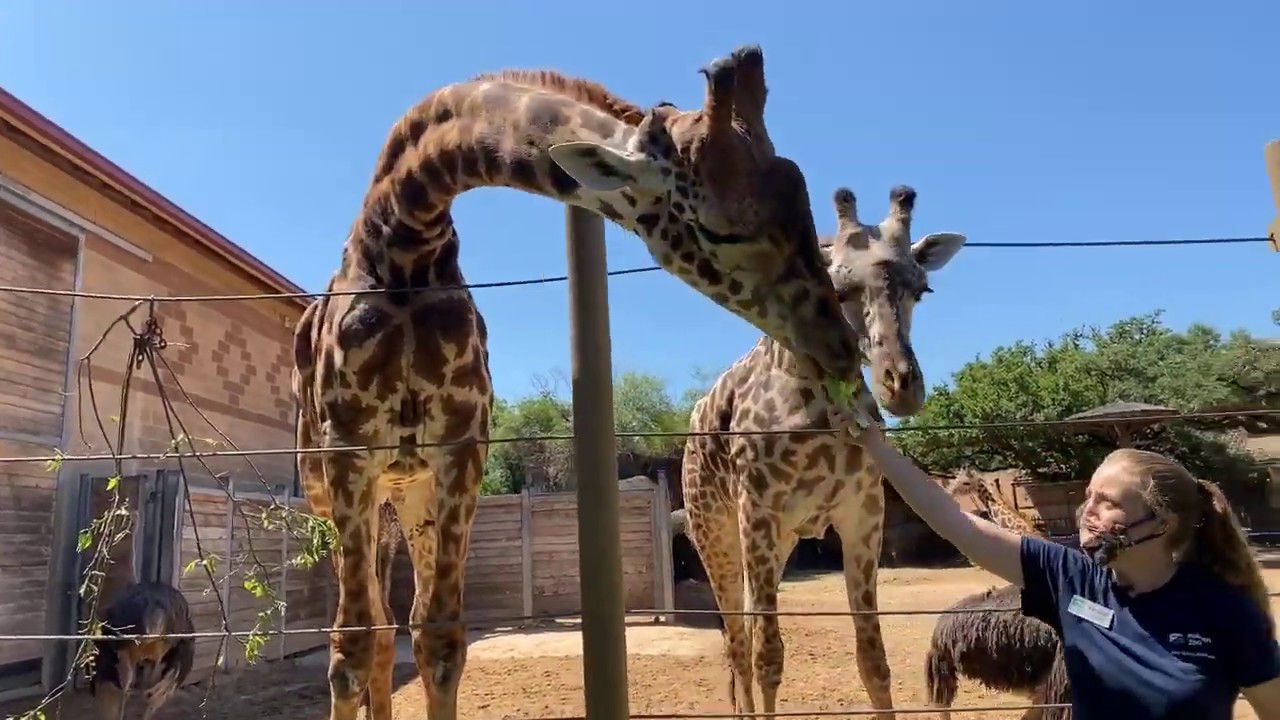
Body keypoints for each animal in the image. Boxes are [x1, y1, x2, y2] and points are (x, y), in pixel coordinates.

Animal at [293, 44, 871, 720]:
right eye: (721, 230)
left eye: (802, 204)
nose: (840, 348)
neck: (406, 243)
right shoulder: (350, 449)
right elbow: (350, 644)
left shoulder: (460, 451)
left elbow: (439, 636)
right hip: (337, 489)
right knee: (367, 628)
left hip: (407, 494)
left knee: (396, 622)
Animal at [681, 185, 969, 719]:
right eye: (839, 288)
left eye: (922, 290)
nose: (902, 387)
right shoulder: (758, 511)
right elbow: (769, 657)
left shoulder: (863, 514)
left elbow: (873, 658)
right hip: (716, 531)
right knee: (738, 642)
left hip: (781, 541)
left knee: (743, 630)